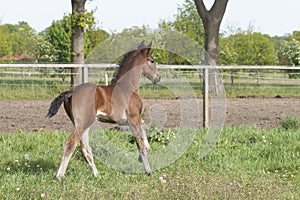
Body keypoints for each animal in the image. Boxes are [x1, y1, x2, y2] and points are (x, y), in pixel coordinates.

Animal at [47, 41, 159, 180]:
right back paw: (59, 176)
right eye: (152, 61)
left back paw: (97, 175)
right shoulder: (134, 118)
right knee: (71, 143)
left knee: (85, 148)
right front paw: (148, 171)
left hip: (81, 124)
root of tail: (71, 91)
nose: (158, 78)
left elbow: (144, 134)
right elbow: (140, 144)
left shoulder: (131, 120)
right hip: (84, 123)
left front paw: (144, 155)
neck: (128, 87)